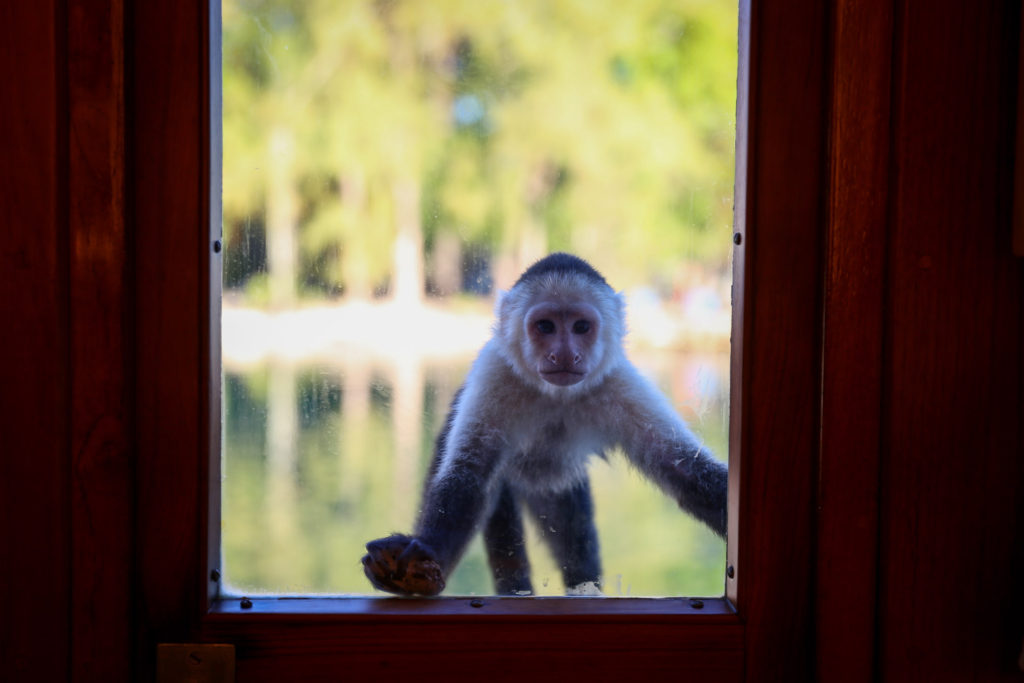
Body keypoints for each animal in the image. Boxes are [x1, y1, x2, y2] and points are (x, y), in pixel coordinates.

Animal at [360, 253, 729, 593]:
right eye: (546, 326)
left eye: (581, 327)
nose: (563, 354)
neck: (556, 395)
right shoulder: (495, 371)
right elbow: (469, 474)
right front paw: (427, 551)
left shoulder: (619, 382)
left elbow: (683, 469)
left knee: (575, 538)